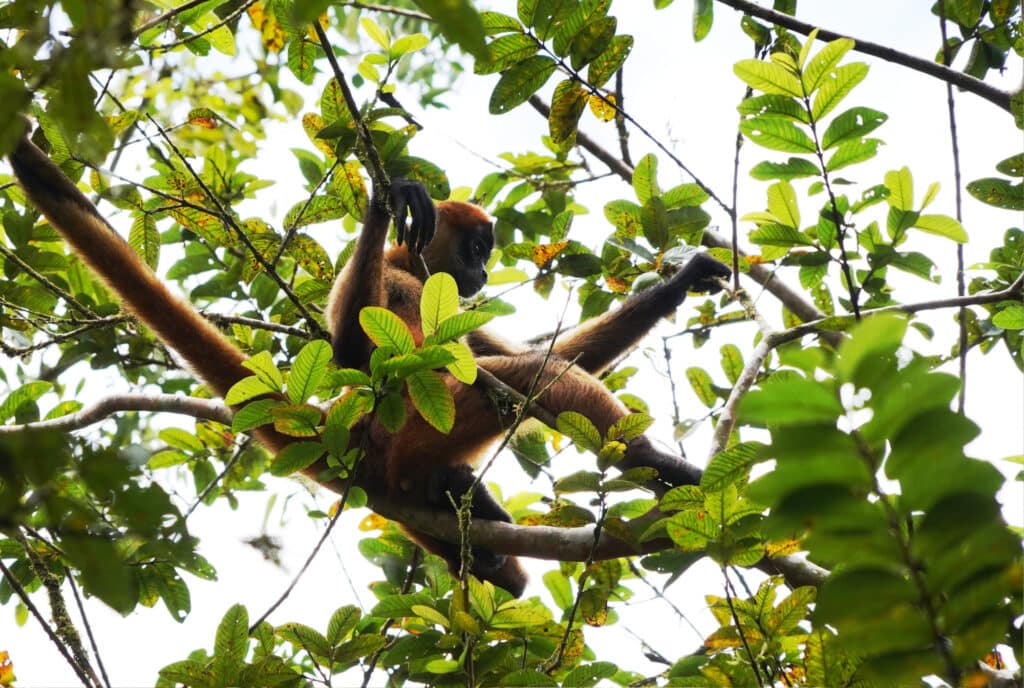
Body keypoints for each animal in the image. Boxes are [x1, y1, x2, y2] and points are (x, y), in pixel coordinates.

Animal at [8, 122, 731, 599]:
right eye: (475, 249)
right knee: (531, 380)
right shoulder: (402, 284)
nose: (483, 271)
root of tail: (352, 438)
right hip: (414, 432)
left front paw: (680, 282)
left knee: (509, 564)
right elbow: (358, 353)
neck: (405, 269)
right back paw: (663, 471)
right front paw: (389, 200)